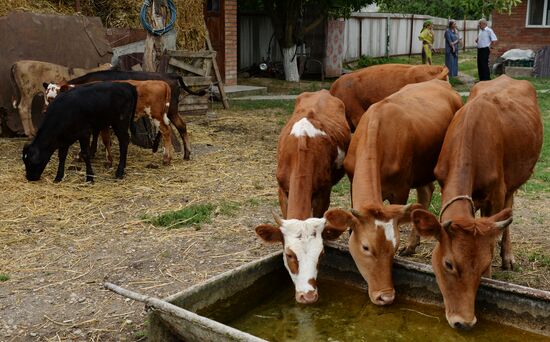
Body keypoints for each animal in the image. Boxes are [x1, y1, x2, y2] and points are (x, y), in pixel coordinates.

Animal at [326, 79, 464, 304]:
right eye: (366, 247)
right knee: (426, 191)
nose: (386, 296)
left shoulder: (400, 189)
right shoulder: (353, 183)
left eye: (394, 247)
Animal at [412, 75, 544, 332]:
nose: (464, 322)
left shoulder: (497, 192)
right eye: (449, 264)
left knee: (508, 211)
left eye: (483, 267)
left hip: (514, 181)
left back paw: (508, 256)